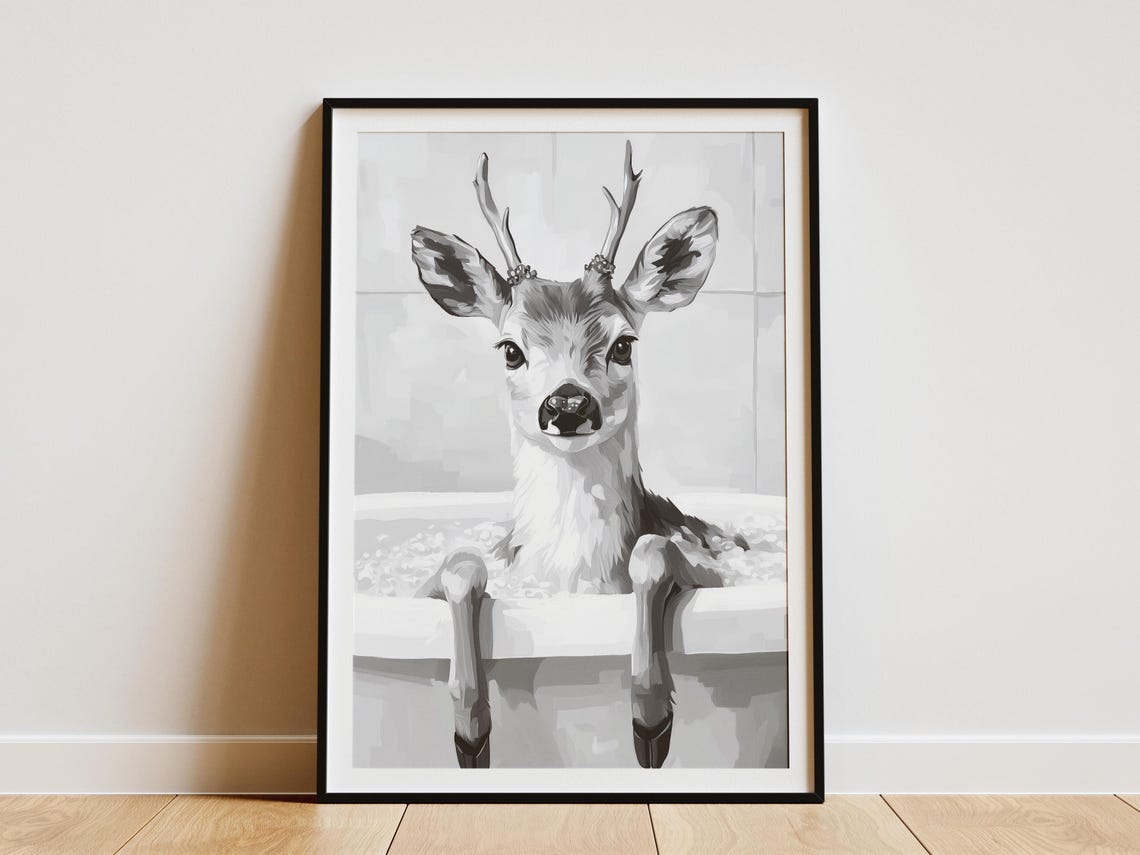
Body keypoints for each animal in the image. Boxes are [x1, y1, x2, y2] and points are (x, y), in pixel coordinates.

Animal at [408, 141, 747, 769]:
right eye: (510, 349)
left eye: (623, 344)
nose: (567, 403)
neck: (571, 577)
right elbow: (463, 565)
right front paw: (470, 727)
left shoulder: (716, 575)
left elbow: (652, 551)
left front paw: (650, 715)